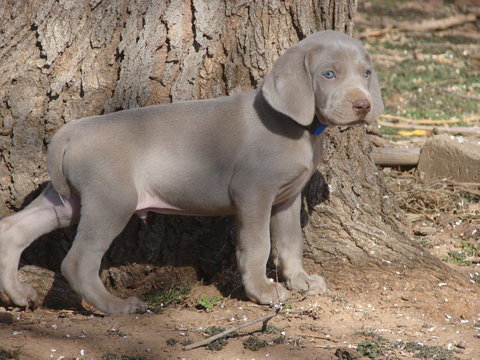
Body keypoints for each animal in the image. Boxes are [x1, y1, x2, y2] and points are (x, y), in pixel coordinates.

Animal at [0, 30, 382, 312]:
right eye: (328, 74)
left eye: (366, 73)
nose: (363, 105)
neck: (300, 129)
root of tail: (71, 131)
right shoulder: (253, 193)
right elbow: (258, 244)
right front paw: (262, 291)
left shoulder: (286, 198)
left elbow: (290, 243)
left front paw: (301, 281)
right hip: (111, 201)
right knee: (77, 261)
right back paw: (116, 306)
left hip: (68, 200)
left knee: (15, 228)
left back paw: (18, 294)